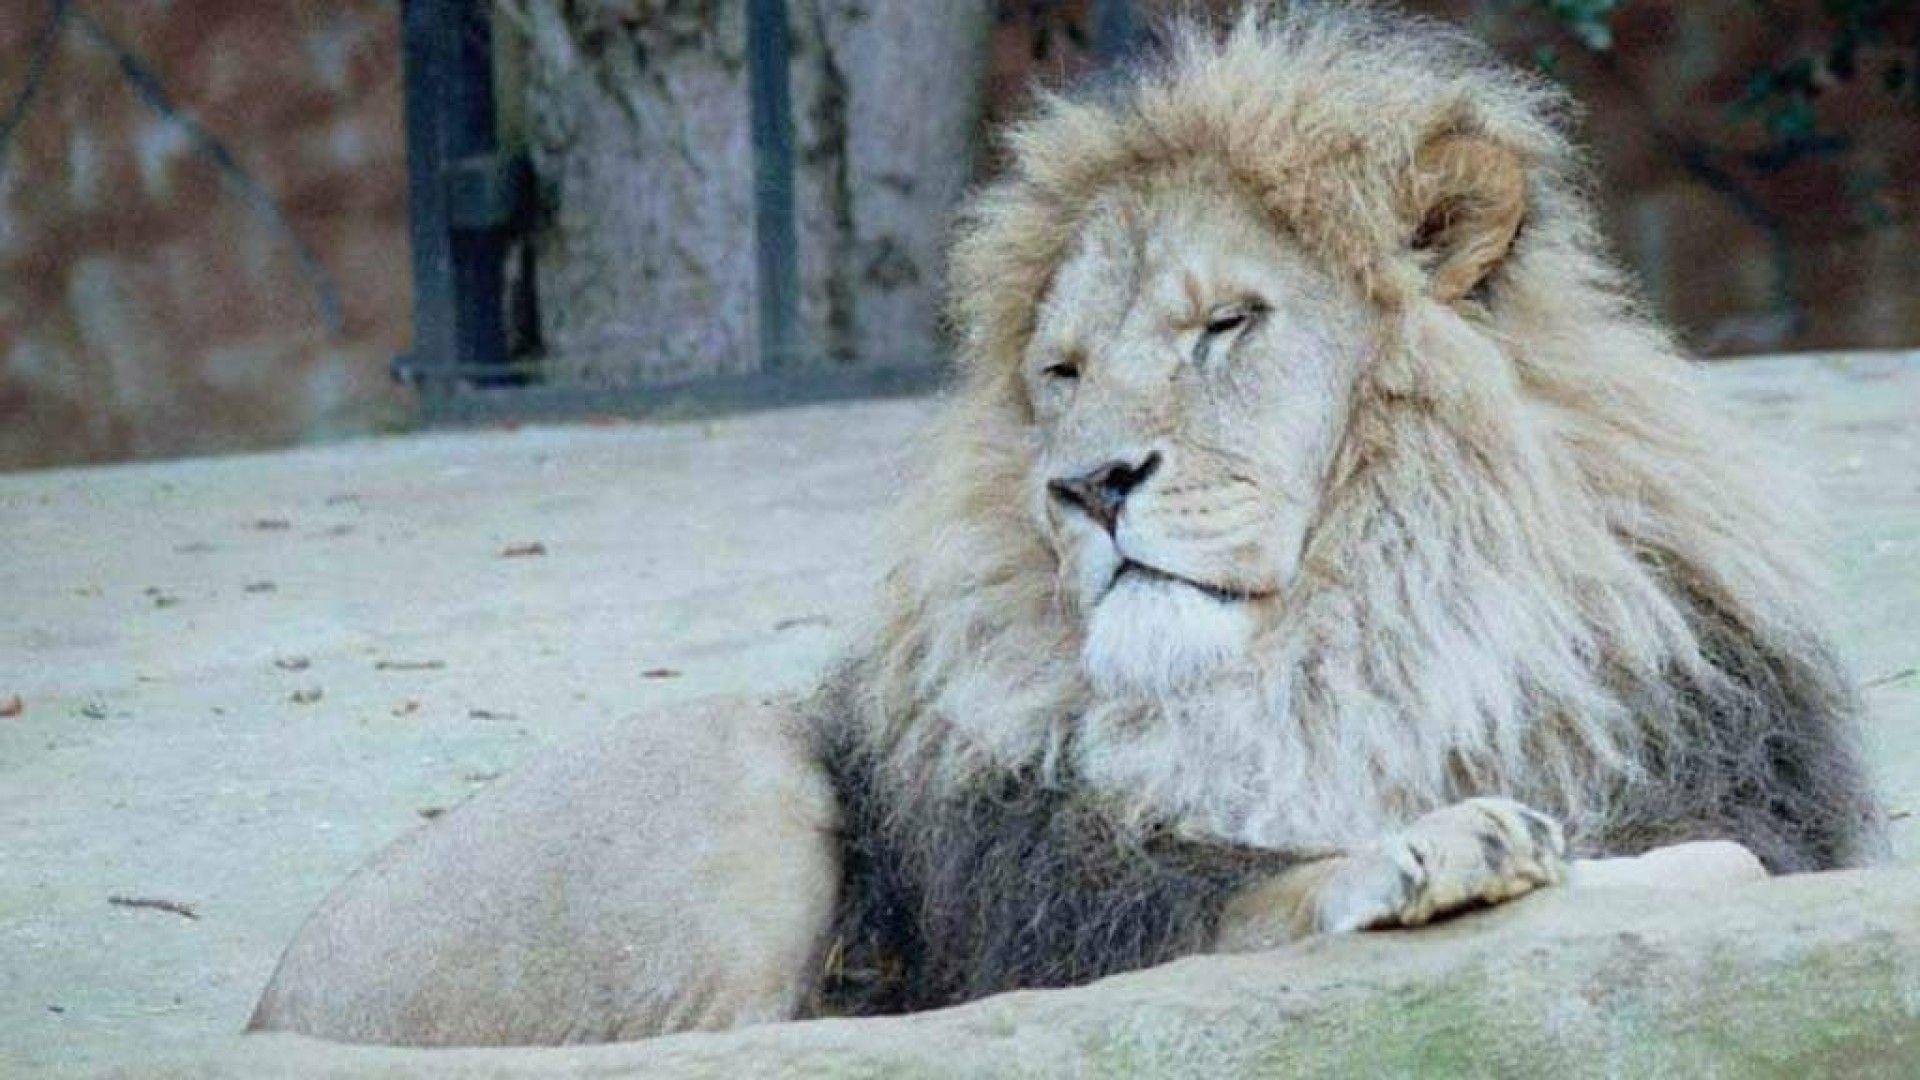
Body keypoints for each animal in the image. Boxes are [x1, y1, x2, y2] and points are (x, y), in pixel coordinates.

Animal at [250, 3, 1884, 1046]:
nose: (1091, 485)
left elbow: (1724, 864)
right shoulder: (1063, 921)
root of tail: (268, 1012)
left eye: (1226, 324)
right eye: (1064, 371)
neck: (1360, 640)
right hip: (732, 771)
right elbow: (1259, 896)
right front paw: (1433, 852)